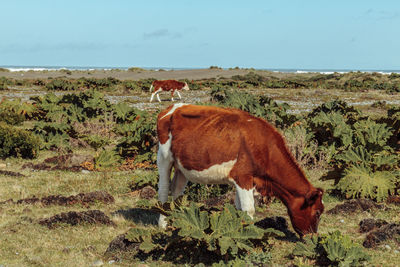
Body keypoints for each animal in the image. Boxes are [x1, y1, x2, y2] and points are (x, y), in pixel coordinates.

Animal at [156, 103, 324, 238]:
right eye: (317, 212)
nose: (312, 237)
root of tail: (172, 108)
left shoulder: (241, 181)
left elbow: (238, 208)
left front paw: (238, 232)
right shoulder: (243, 177)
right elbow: (248, 209)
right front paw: (249, 235)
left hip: (182, 167)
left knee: (177, 191)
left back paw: (177, 221)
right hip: (164, 158)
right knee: (164, 190)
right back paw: (163, 225)